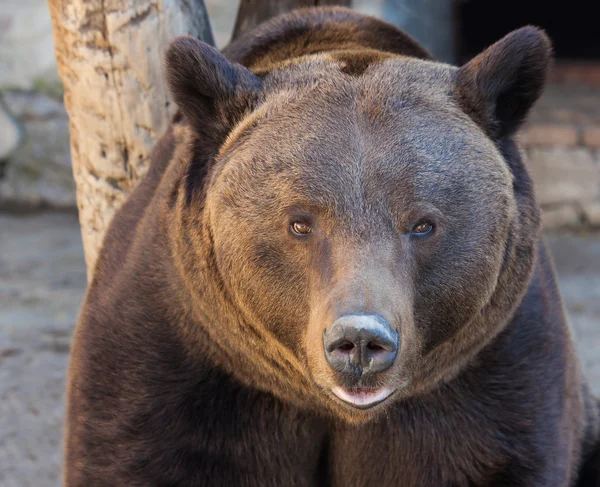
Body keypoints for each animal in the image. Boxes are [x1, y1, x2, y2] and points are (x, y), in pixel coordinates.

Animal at [62, 4, 600, 487]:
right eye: (300, 223)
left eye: (423, 224)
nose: (360, 341)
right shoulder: (177, 350)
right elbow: (135, 450)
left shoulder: (497, 371)